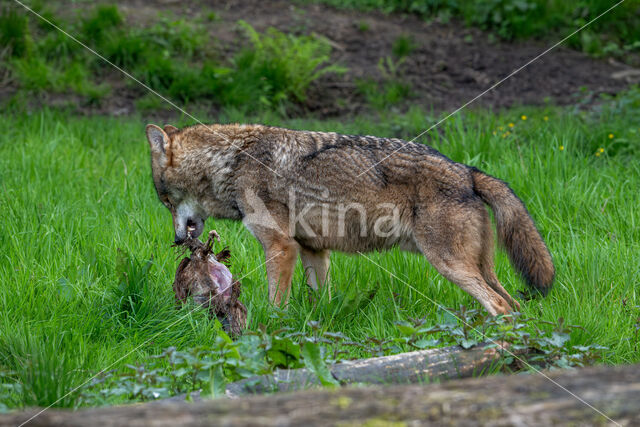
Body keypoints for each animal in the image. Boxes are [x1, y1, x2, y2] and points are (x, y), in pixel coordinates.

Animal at [146, 122, 556, 316]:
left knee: (500, 305)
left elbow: (276, 304)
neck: (232, 161)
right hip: (481, 269)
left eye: (165, 200)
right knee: (515, 305)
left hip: (450, 266)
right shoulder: (313, 250)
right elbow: (321, 302)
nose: (178, 240)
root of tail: (468, 172)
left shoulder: (281, 247)